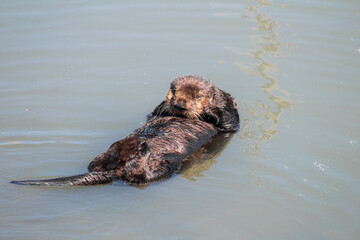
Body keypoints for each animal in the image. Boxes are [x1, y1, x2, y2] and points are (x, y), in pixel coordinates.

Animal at [9, 76, 239, 187]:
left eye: (198, 96)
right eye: (174, 92)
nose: (180, 104)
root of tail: (115, 170)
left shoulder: (230, 120)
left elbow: (228, 121)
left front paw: (209, 109)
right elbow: (153, 113)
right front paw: (163, 106)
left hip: (169, 166)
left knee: (143, 176)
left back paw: (138, 148)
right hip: (102, 158)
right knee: (98, 163)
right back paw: (128, 146)